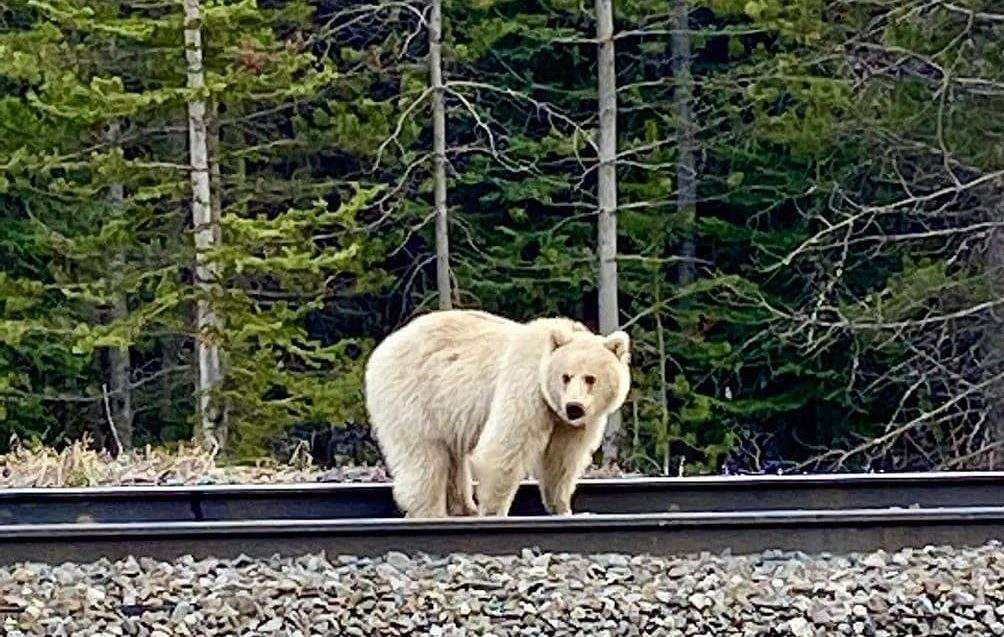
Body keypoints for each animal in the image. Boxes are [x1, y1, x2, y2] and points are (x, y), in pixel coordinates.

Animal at [364, 309, 631, 518]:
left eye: (590, 378)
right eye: (565, 376)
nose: (574, 407)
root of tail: (381, 350)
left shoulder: (573, 423)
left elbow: (562, 458)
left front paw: (562, 508)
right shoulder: (526, 389)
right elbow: (505, 446)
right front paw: (494, 511)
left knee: (451, 457)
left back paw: (464, 508)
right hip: (415, 396)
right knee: (425, 456)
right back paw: (432, 512)